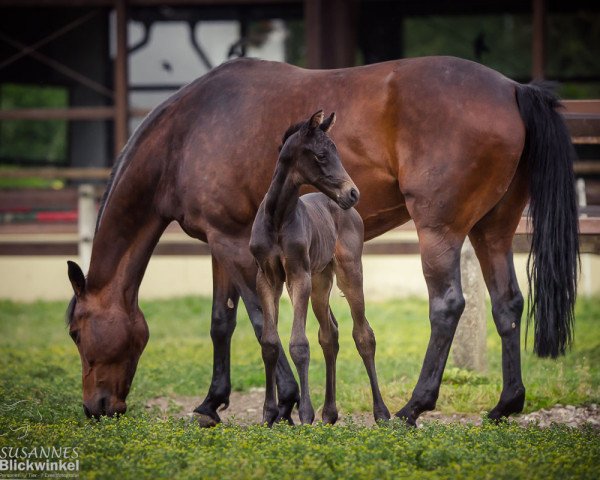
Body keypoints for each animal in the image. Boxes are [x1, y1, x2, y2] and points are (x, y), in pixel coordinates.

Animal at [248, 110, 390, 426]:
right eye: (322, 155)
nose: (353, 193)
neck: (278, 219)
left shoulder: (298, 276)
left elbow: (298, 344)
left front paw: (304, 414)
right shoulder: (267, 278)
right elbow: (270, 343)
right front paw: (269, 415)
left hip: (349, 272)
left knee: (363, 335)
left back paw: (381, 413)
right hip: (321, 281)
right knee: (329, 334)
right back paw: (329, 413)